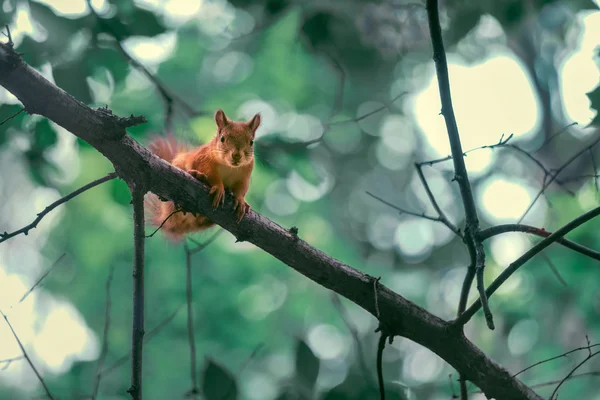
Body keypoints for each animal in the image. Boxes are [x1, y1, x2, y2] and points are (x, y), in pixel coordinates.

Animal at [145, 108, 260, 241]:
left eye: (251, 142)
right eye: (222, 138)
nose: (236, 155)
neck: (229, 167)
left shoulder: (245, 175)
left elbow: (241, 188)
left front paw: (241, 201)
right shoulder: (203, 159)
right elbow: (211, 174)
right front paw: (218, 188)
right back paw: (197, 176)